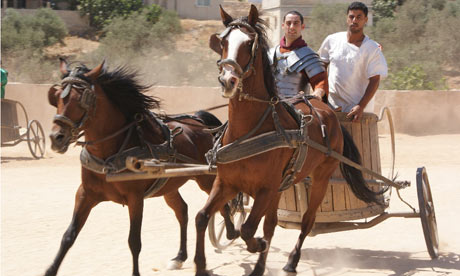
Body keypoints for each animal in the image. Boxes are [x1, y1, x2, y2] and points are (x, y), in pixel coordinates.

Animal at [45, 59, 232, 276]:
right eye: (56, 97)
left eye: (80, 99)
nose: (56, 138)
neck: (109, 155)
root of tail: (199, 121)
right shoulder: (85, 194)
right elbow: (69, 236)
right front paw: (50, 270)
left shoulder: (135, 199)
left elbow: (134, 242)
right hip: (169, 185)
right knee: (182, 211)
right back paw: (179, 257)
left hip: (205, 178)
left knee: (223, 203)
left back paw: (231, 230)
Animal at [192, 4, 382, 276]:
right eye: (223, 42)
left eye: (248, 42)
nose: (228, 81)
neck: (248, 132)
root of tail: (327, 111)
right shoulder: (226, 183)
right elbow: (202, 217)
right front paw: (201, 264)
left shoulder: (265, 189)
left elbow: (248, 230)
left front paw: (258, 245)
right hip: (280, 188)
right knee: (271, 223)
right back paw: (260, 266)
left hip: (321, 178)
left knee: (306, 221)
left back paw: (291, 261)